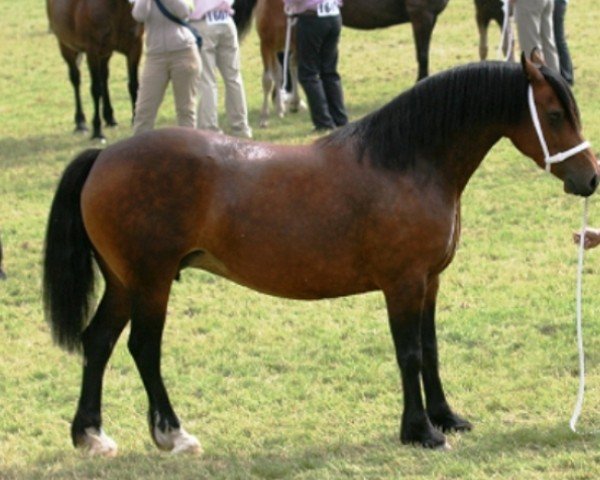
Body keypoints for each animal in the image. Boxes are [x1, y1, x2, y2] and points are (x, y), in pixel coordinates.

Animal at [44, 56, 596, 454]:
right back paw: (173, 435)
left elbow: (432, 348)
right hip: (151, 282)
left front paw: (446, 417)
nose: (589, 178)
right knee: (143, 349)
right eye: (553, 114)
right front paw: (420, 431)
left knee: (98, 343)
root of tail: (105, 155)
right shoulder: (403, 283)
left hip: (123, 283)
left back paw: (90, 436)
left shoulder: (430, 281)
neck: (406, 161)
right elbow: (410, 353)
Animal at [46, 0, 144, 141]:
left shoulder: (135, 47)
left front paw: (135, 121)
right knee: (76, 79)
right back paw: (80, 123)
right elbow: (96, 90)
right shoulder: (93, 52)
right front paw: (97, 132)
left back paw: (110, 118)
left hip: (106, 53)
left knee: (104, 77)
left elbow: (134, 85)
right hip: (67, 48)